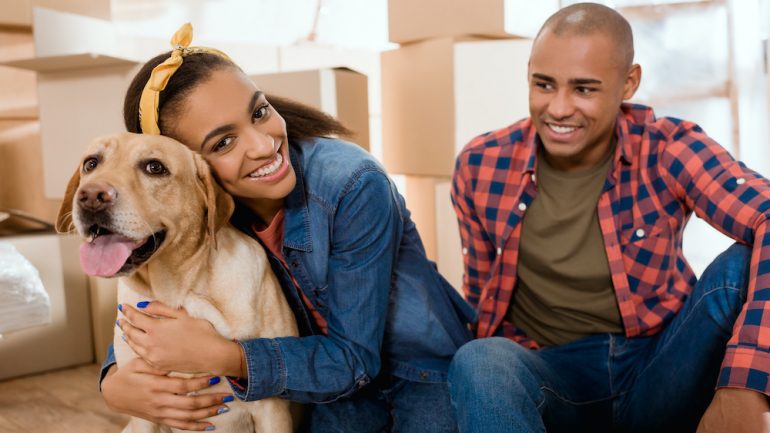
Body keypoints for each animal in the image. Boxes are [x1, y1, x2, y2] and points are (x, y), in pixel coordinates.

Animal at [56, 132, 296, 432]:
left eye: (155, 167)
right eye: (91, 163)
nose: (90, 197)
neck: (181, 292)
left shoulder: (273, 408)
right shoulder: (142, 404)